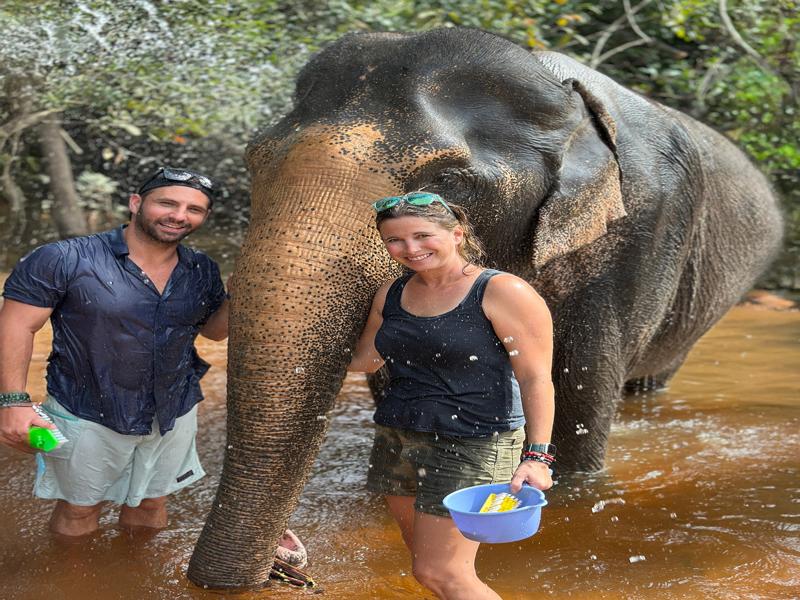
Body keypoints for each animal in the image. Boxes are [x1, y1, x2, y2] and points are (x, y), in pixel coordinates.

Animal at [187, 28, 783, 588]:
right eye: (253, 160)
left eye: (448, 181)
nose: (286, 561)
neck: (557, 95)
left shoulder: (639, 238)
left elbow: (577, 394)